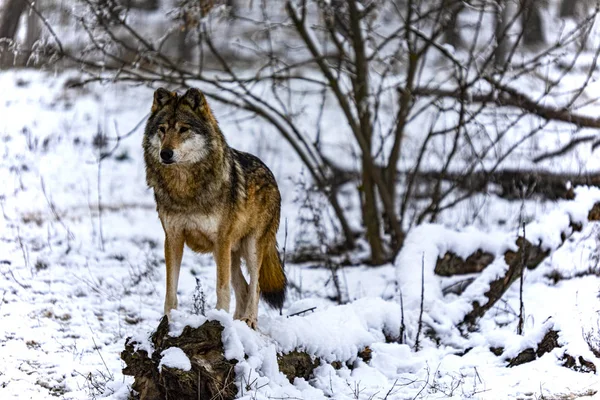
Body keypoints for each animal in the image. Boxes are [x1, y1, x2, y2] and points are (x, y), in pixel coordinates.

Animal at [144, 87, 288, 328]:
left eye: (183, 129)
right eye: (162, 130)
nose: (165, 153)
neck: (185, 189)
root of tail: (271, 175)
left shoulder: (221, 240)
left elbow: (222, 288)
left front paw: (219, 318)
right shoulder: (173, 238)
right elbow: (170, 290)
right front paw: (169, 320)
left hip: (249, 247)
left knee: (255, 286)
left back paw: (249, 320)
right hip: (230, 252)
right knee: (243, 288)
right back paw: (237, 322)